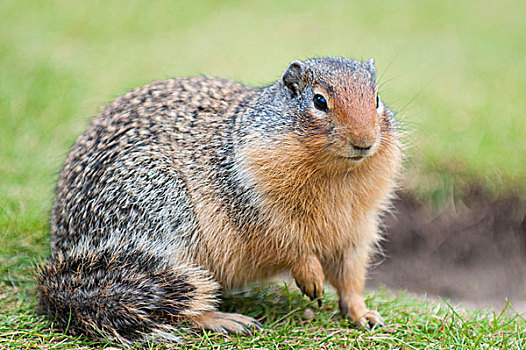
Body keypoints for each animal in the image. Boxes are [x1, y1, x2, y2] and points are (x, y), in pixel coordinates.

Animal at [38, 56, 404, 344]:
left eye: (377, 99)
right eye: (319, 101)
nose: (364, 141)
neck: (338, 177)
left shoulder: (357, 228)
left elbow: (350, 277)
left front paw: (365, 314)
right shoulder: (258, 208)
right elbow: (290, 245)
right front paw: (312, 279)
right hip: (165, 231)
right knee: (180, 308)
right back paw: (229, 321)